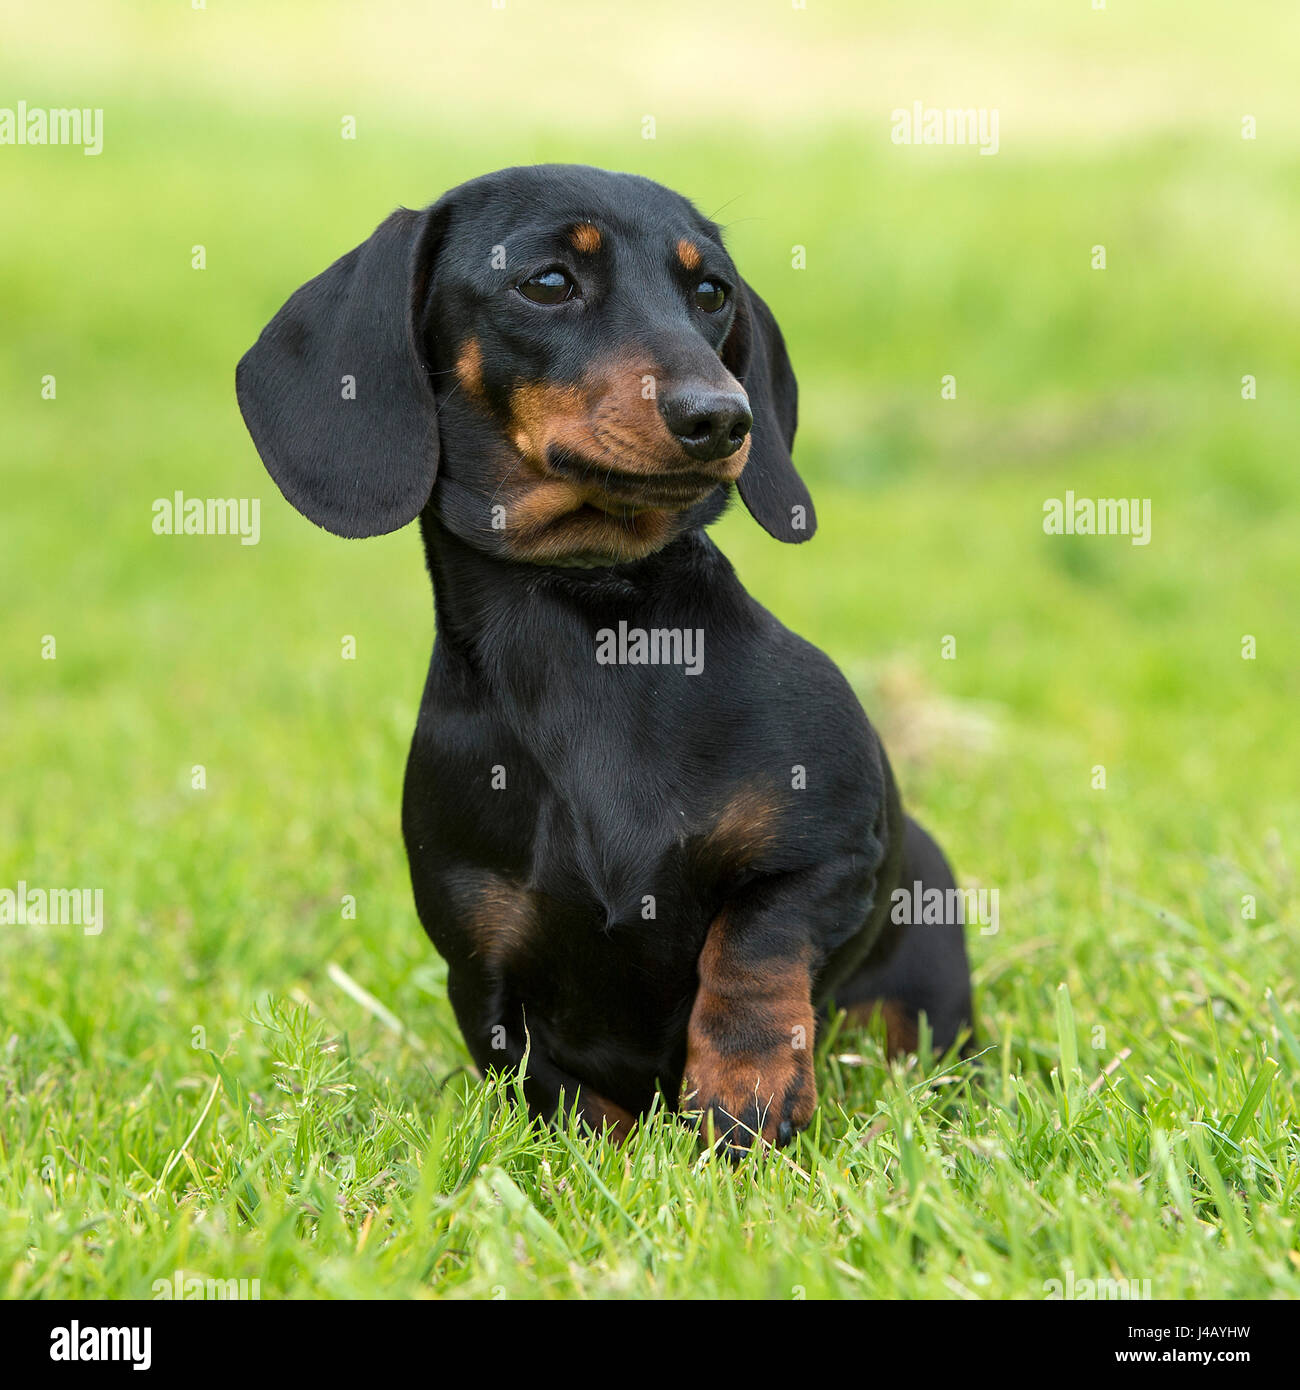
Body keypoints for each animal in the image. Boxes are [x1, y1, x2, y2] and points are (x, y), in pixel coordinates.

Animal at [236, 159, 967, 1150]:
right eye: (548, 282)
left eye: (711, 293)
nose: (722, 417)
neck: (592, 624)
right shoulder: (484, 978)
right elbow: (564, 1101)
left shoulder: (831, 851)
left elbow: (753, 945)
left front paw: (744, 1092)